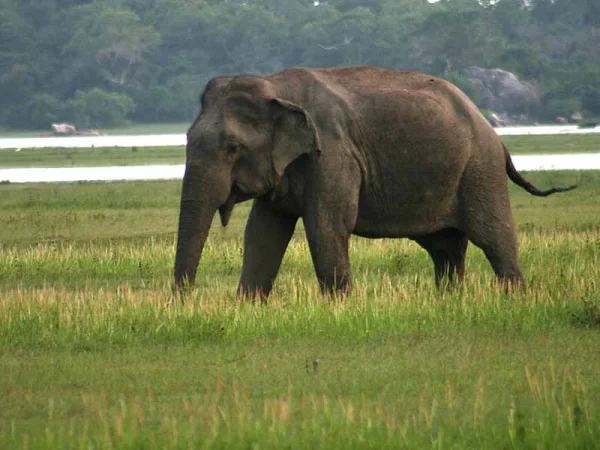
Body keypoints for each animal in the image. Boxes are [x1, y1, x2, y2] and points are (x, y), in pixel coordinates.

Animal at [172, 66, 572, 298]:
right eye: (187, 139)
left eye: (232, 148)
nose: (183, 301)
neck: (276, 86)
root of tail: (496, 134)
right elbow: (263, 231)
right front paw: (248, 306)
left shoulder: (333, 153)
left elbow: (326, 226)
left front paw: (337, 309)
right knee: (445, 247)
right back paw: (449, 302)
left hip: (479, 170)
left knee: (493, 237)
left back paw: (514, 299)